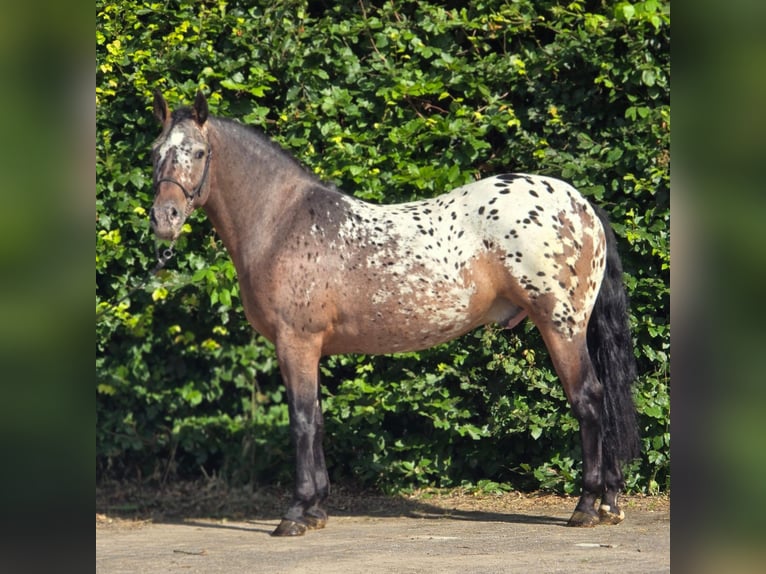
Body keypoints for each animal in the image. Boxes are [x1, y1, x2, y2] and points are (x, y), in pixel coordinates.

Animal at [148, 91, 641, 536]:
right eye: (155, 152)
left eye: (198, 152)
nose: (163, 218)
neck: (283, 222)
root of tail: (581, 206)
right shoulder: (310, 349)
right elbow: (319, 421)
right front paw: (317, 510)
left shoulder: (296, 342)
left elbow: (302, 421)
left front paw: (295, 513)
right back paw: (610, 503)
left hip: (561, 326)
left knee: (589, 400)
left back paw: (586, 506)